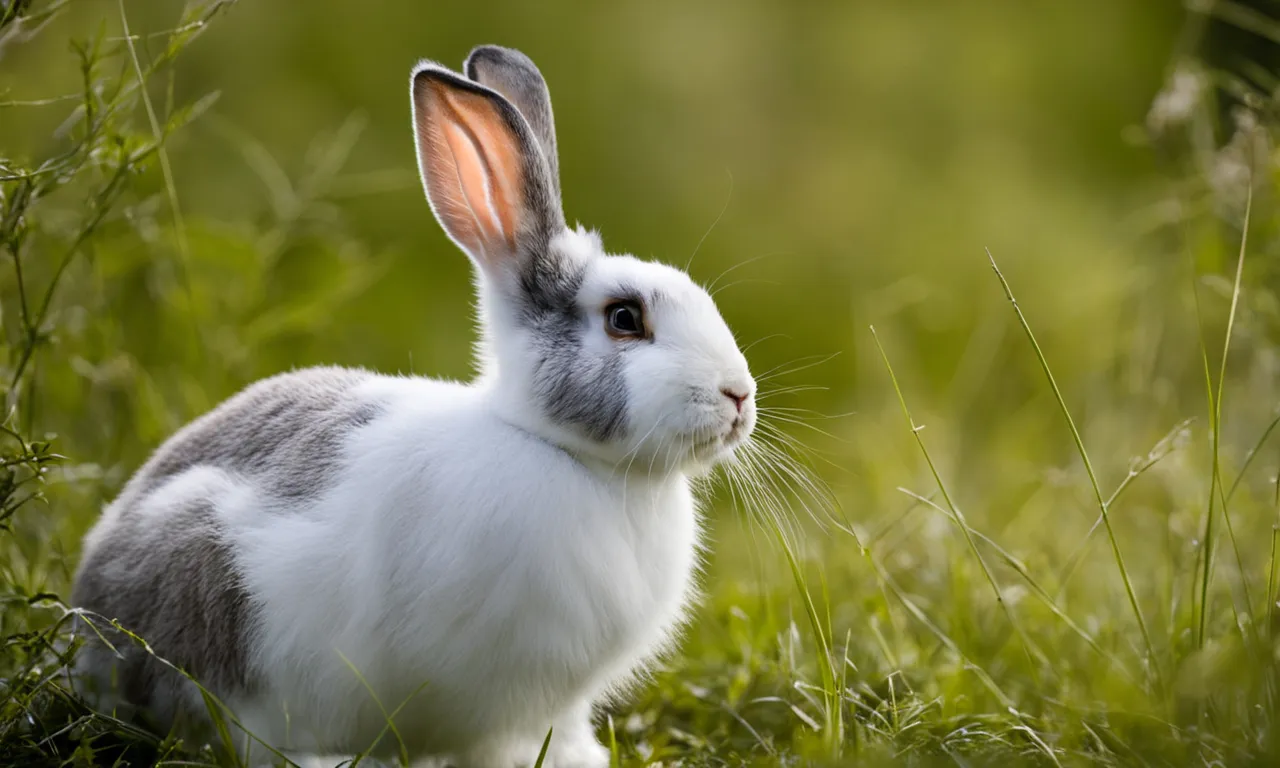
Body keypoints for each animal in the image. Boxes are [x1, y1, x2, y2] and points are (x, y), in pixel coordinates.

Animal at [69, 44, 756, 768]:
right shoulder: (499, 702)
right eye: (625, 318)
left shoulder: (558, 705)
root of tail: (88, 634)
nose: (739, 395)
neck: (573, 457)